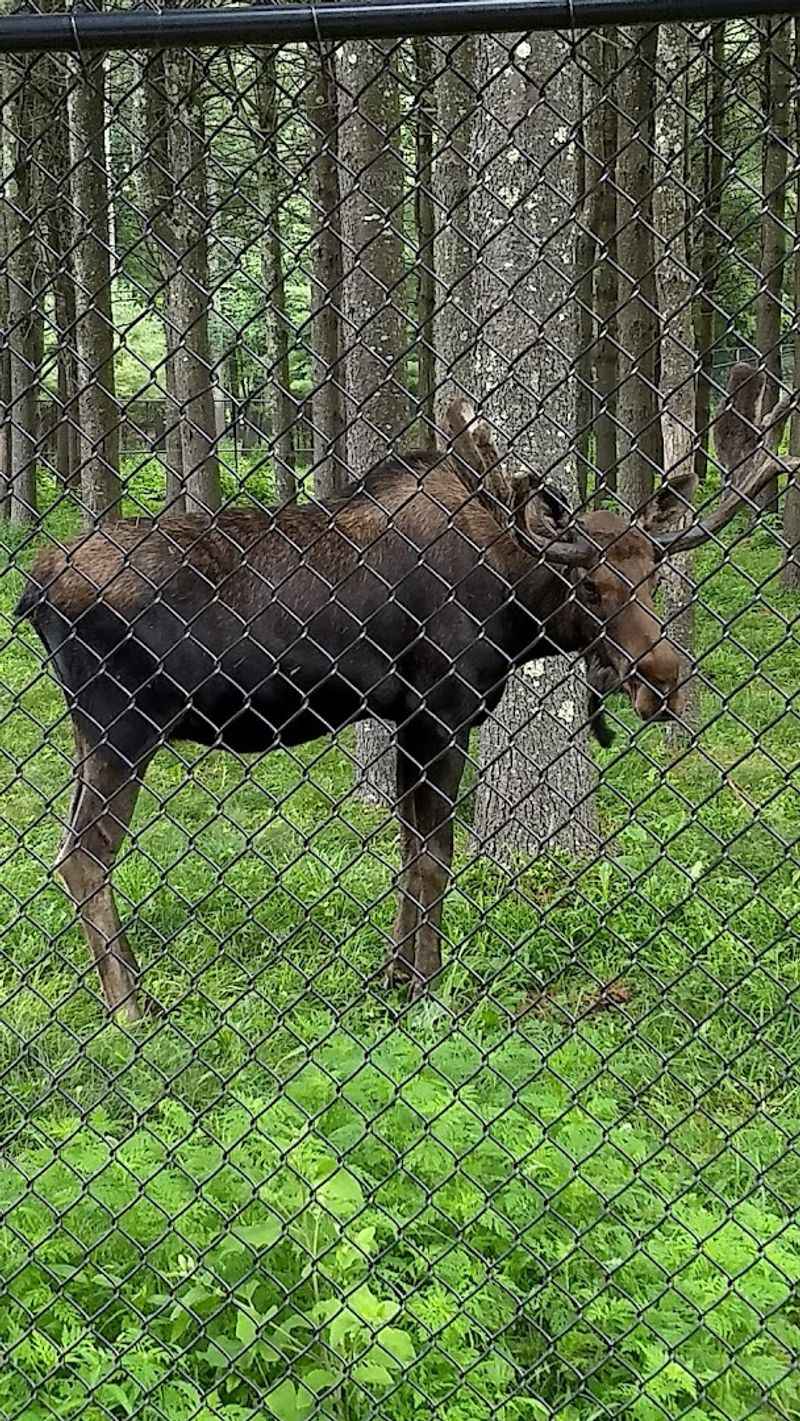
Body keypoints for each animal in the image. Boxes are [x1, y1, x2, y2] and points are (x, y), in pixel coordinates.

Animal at [15, 396, 797, 1021]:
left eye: (654, 573)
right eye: (589, 584)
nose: (661, 679)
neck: (517, 609)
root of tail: (35, 588)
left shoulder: (404, 719)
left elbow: (408, 851)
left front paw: (393, 973)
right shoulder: (439, 710)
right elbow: (433, 857)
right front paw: (424, 985)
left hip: (89, 734)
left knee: (70, 852)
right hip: (123, 727)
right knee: (84, 855)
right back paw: (129, 1007)